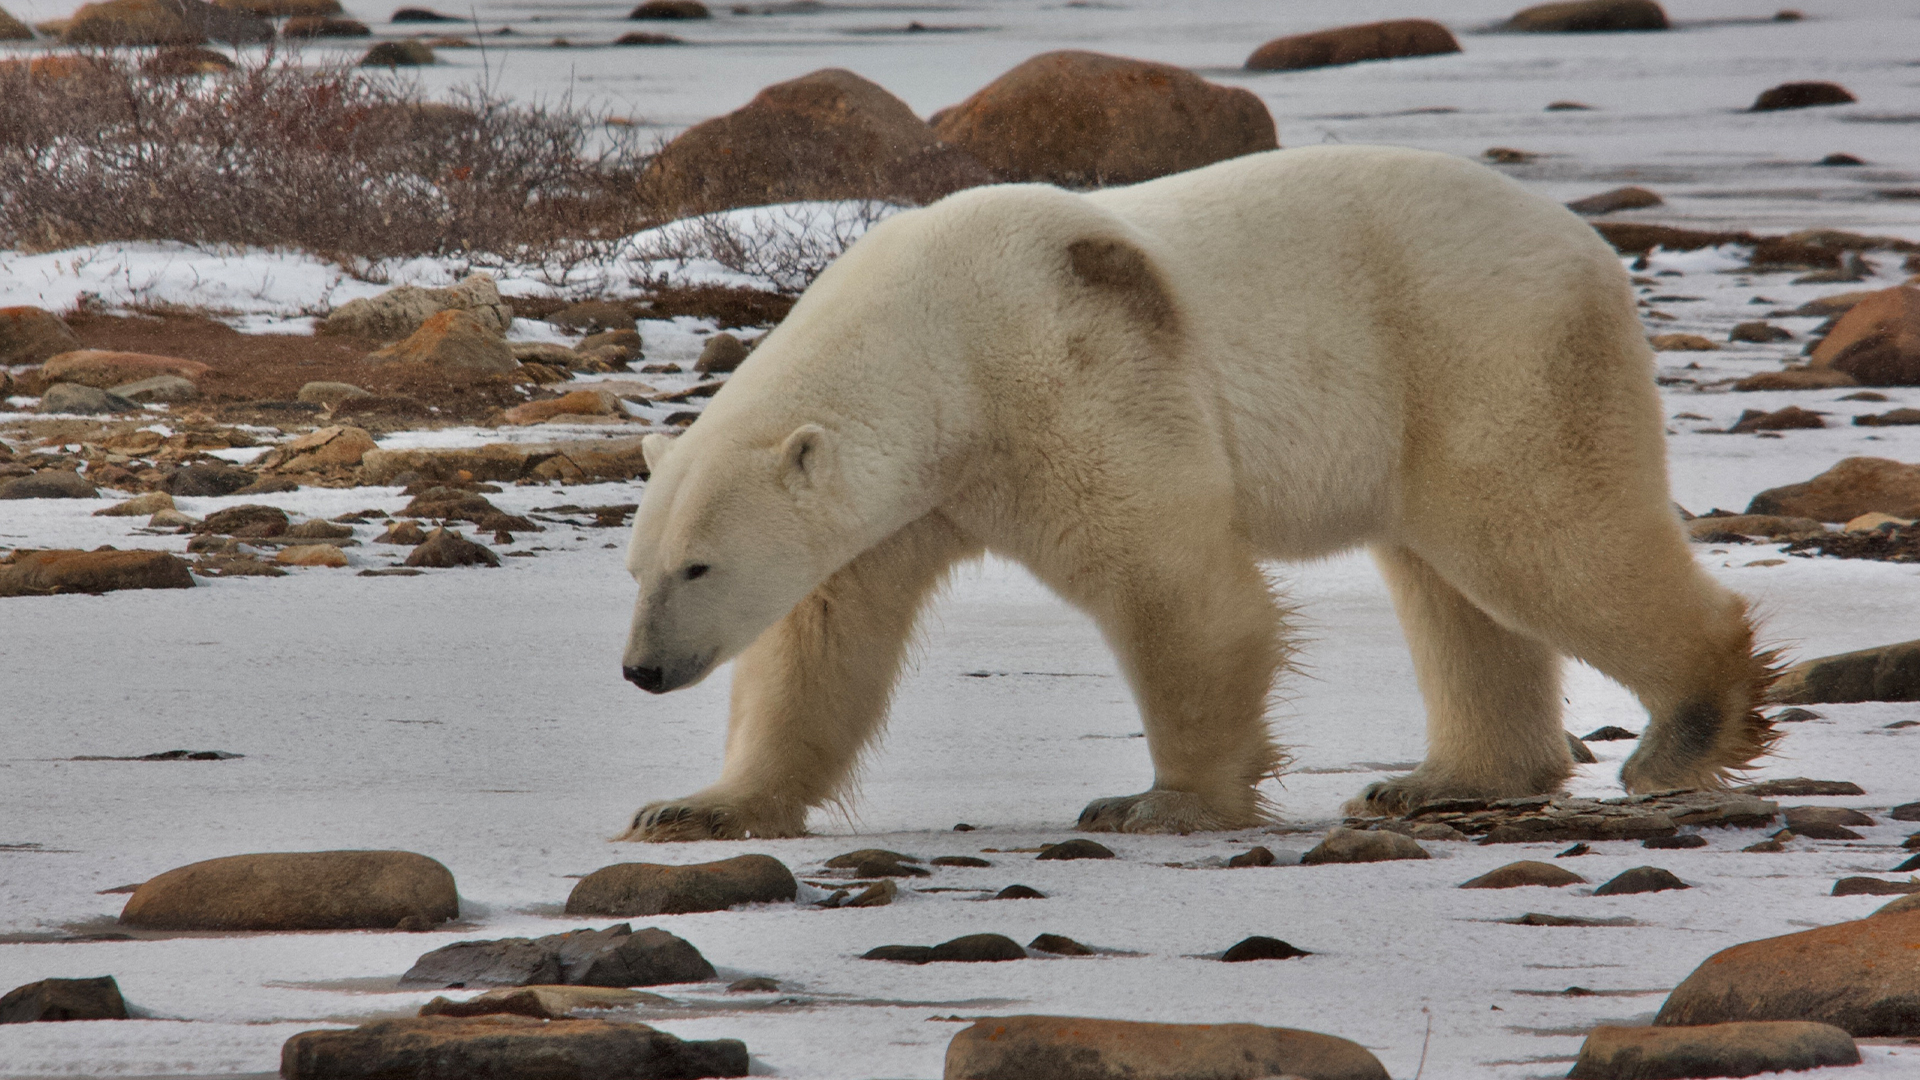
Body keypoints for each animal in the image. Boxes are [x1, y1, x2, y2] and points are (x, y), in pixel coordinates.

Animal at [614, 143, 1766, 837]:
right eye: (640, 567)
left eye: (698, 565)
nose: (642, 671)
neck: (937, 343)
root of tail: (1588, 244)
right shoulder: (916, 495)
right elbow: (820, 644)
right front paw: (692, 808)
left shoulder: (1071, 370)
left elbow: (1172, 584)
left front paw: (1158, 801)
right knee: (1455, 586)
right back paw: (1444, 778)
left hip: (1482, 349)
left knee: (1537, 535)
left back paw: (1682, 733)